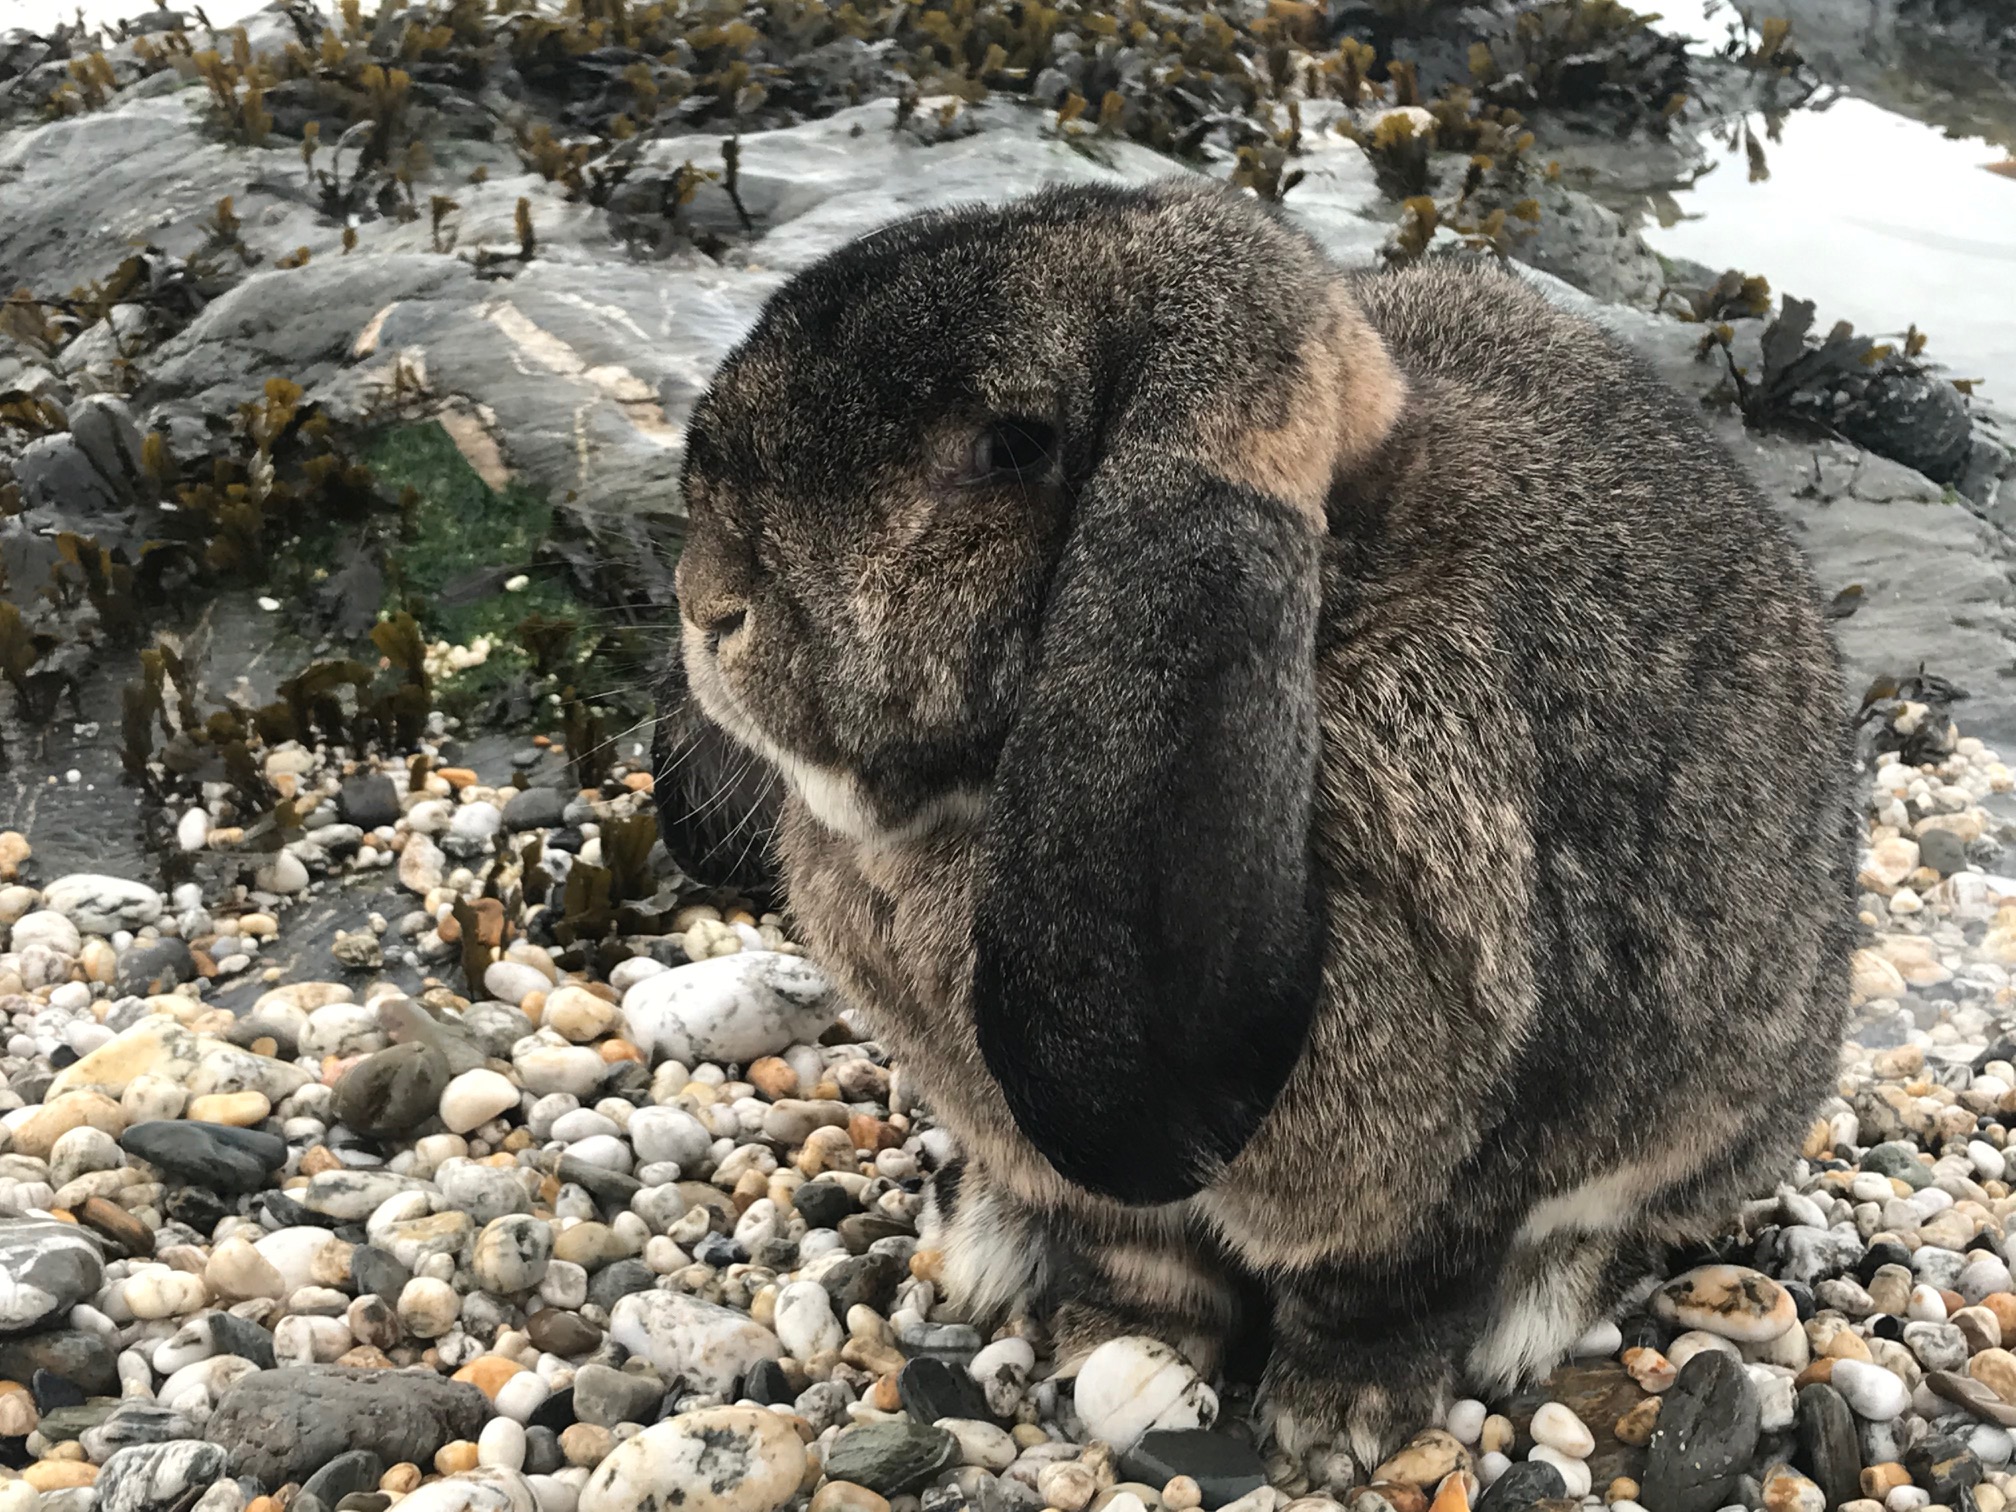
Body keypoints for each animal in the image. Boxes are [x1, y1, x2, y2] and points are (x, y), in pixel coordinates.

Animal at [669, 177, 1846, 1467]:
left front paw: (1339, 1426)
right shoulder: (1104, 1190)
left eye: (1009, 447)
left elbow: (1386, 1295)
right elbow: (1138, 1267)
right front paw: (1112, 1344)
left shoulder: (1442, 1177)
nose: (705, 604)